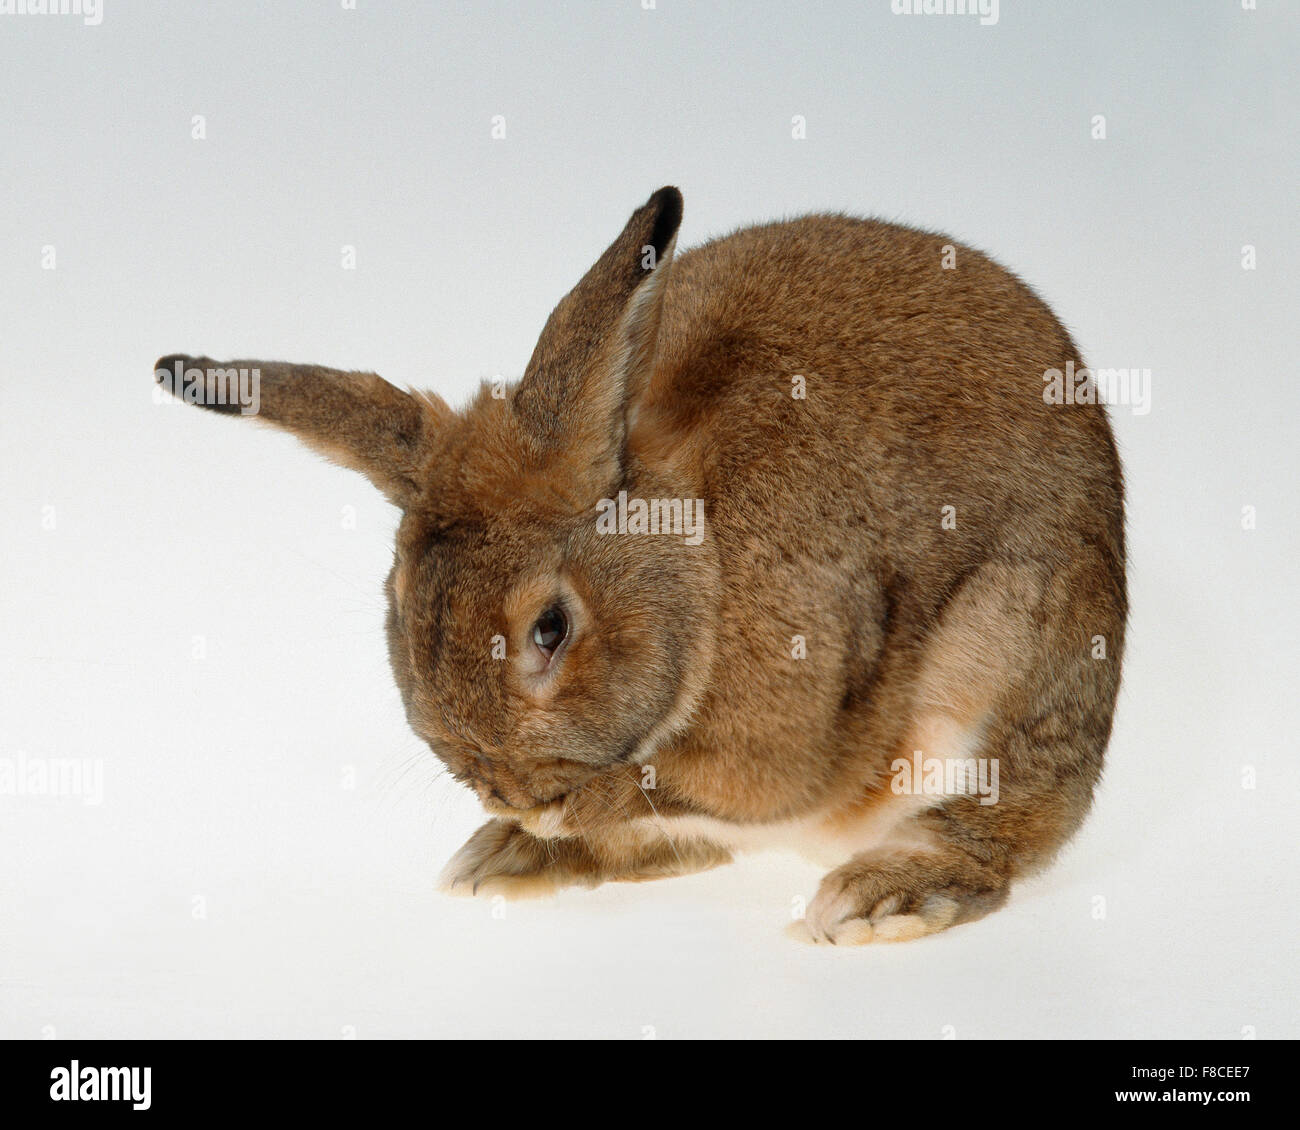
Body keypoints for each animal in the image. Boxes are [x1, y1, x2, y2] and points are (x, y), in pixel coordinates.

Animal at [157, 187, 1123, 941]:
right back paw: (503, 861)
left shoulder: (780, 728)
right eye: (397, 605)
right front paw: (533, 833)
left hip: (1008, 668)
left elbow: (700, 785)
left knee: (996, 828)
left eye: (550, 628)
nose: (507, 794)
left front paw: (572, 811)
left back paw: (875, 897)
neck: (700, 563)